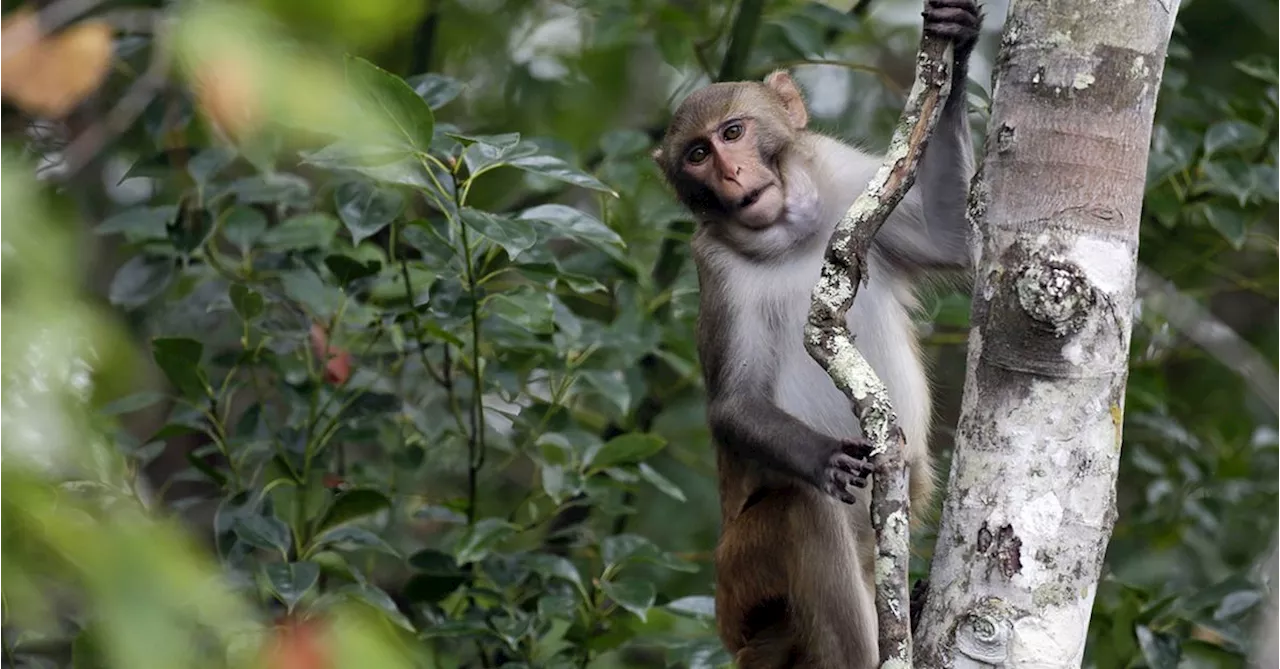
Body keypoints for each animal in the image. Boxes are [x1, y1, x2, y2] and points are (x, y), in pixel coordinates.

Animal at [655, 2, 983, 665]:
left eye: (733, 133)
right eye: (698, 154)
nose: (731, 173)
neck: (790, 235)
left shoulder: (848, 179)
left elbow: (952, 237)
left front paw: (958, 47)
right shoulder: (716, 269)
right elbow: (735, 404)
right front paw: (823, 457)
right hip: (743, 579)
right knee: (804, 514)